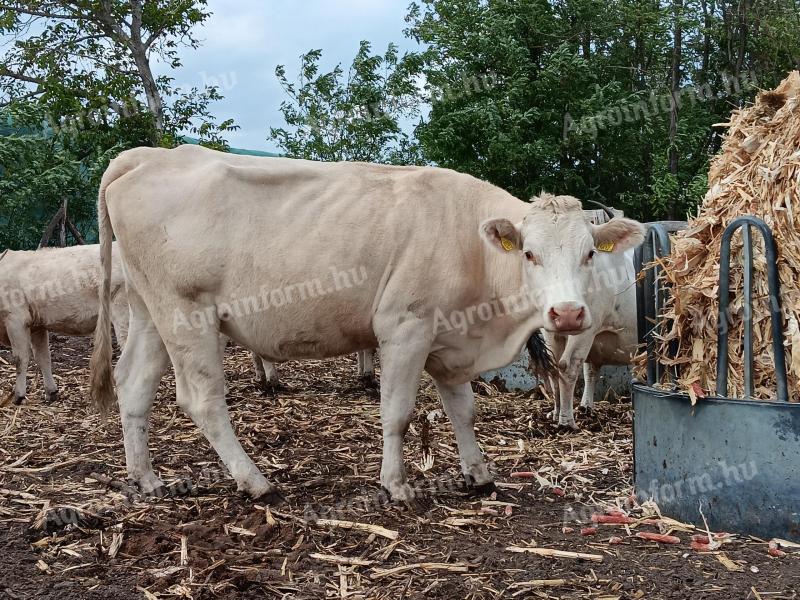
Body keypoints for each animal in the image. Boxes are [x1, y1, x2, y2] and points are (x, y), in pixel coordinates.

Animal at [90, 146, 648, 502]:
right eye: (529, 253)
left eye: (589, 253)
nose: (568, 313)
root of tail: (146, 155)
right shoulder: (404, 329)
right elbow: (398, 413)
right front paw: (397, 485)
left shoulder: (451, 341)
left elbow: (463, 412)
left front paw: (480, 475)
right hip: (187, 314)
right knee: (201, 399)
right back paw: (256, 482)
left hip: (149, 312)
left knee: (133, 384)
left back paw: (147, 480)